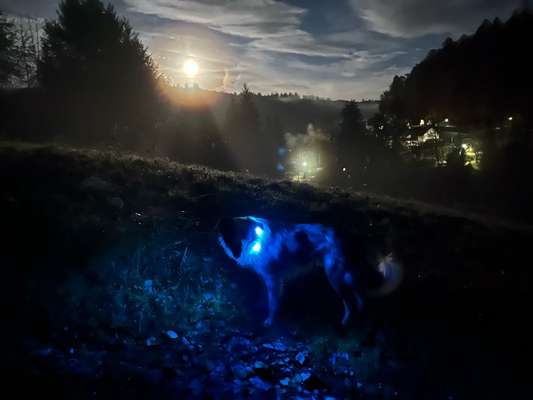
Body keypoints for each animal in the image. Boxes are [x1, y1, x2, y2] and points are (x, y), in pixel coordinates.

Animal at [216, 216, 400, 324]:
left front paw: (270, 321)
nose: (236, 253)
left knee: (349, 303)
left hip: (334, 275)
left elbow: (273, 303)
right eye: (229, 236)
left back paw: (345, 324)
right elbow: (265, 297)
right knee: (360, 297)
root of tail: (352, 236)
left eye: (235, 236)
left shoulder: (273, 278)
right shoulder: (269, 278)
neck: (253, 236)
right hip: (345, 276)